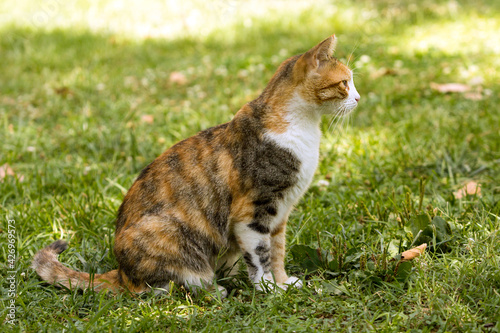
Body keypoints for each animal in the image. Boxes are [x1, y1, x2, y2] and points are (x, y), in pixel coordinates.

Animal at [32, 35, 360, 296]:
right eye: (344, 83)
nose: (358, 98)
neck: (303, 128)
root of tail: (121, 272)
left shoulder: (280, 213)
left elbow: (277, 250)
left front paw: (282, 282)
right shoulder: (253, 211)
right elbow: (260, 253)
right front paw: (268, 288)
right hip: (167, 234)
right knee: (156, 288)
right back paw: (209, 289)